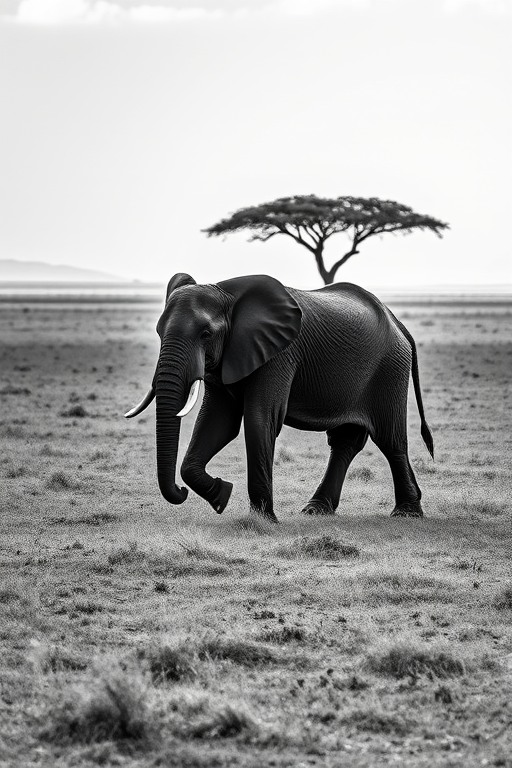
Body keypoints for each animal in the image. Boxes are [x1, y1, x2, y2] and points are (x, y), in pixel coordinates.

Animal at [125, 273, 434, 522]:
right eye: (158, 331)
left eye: (206, 334)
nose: (180, 492)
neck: (227, 293)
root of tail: (398, 322)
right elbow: (217, 423)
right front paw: (222, 495)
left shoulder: (279, 354)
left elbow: (259, 419)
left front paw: (264, 520)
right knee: (345, 442)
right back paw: (316, 509)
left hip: (389, 369)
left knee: (390, 439)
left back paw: (406, 513)